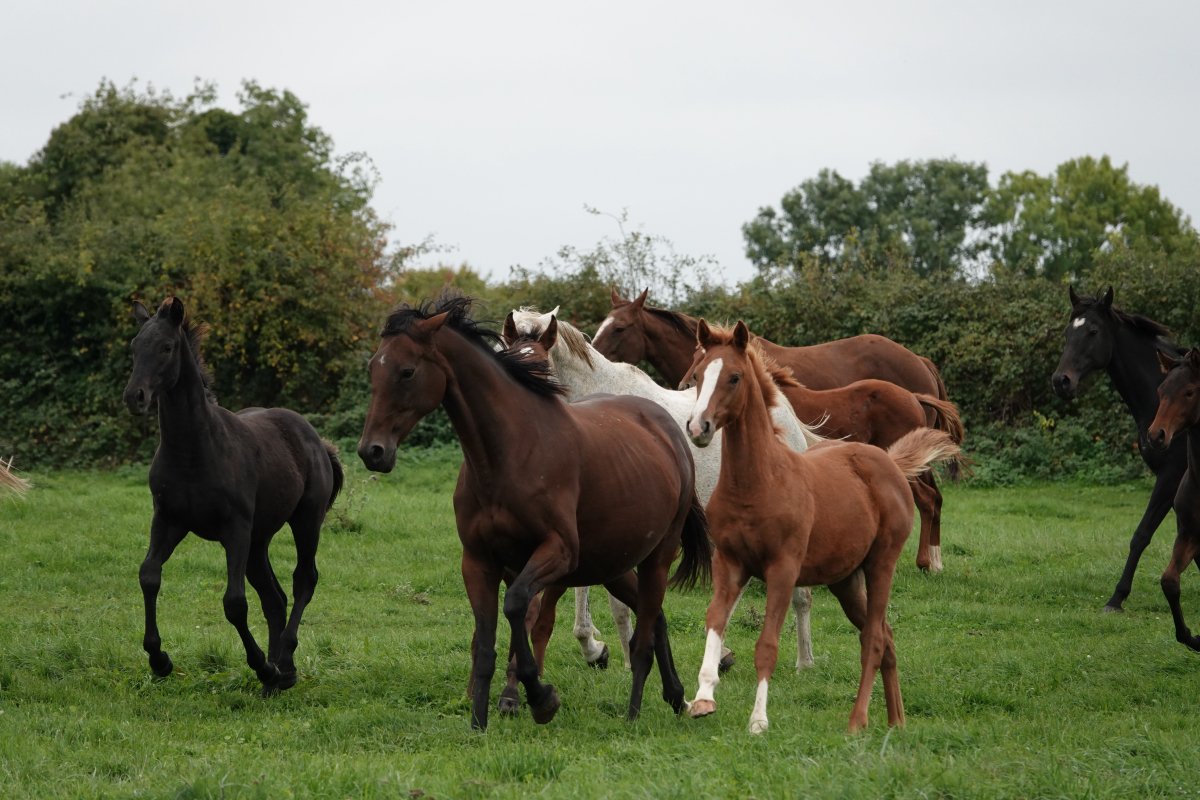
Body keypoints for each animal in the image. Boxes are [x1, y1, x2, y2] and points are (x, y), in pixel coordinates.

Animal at [123, 297, 343, 694]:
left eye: (166, 347)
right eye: (134, 347)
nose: (135, 397)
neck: (194, 450)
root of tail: (317, 441)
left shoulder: (235, 528)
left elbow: (235, 603)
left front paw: (261, 667)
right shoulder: (168, 520)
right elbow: (149, 575)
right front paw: (159, 660)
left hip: (305, 521)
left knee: (303, 579)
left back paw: (282, 665)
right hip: (259, 539)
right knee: (274, 598)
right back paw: (278, 676)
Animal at [356, 294, 711, 730]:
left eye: (406, 371)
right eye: (374, 367)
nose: (372, 451)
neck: (508, 454)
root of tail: (668, 428)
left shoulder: (555, 554)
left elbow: (519, 609)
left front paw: (539, 698)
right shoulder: (478, 562)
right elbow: (486, 640)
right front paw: (479, 721)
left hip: (655, 558)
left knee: (645, 629)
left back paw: (635, 711)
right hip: (614, 564)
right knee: (654, 616)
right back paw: (676, 696)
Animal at [502, 308, 818, 680]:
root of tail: (782, 410)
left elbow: (617, 602)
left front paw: (624, 656)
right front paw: (594, 648)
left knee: (799, 595)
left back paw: (804, 662)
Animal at [683, 319, 961, 733]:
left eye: (734, 377)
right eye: (699, 376)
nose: (698, 427)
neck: (758, 482)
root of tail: (890, 463)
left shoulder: (783, 570)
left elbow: (767, 645)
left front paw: (758, 721)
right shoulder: (730, 563)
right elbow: (715, 622)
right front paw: (702, 699)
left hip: (881, 564)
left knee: (874, 638)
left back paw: (858, 721)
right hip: (844, 580)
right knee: (886, 637)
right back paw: (896, 721)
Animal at [1051, 286, 1188, 612]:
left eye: (1093, 331)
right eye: (1067, 332)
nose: (1061, 382)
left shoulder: (1171, 474)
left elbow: (1141, 535)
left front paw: (1117, 598)